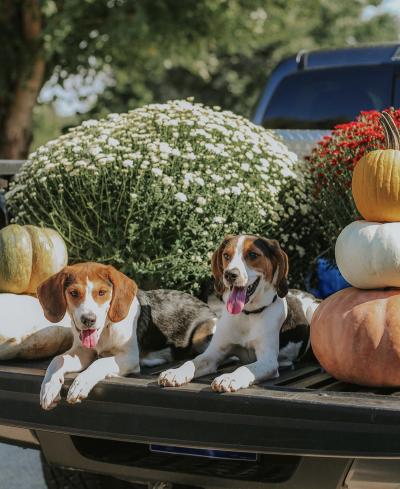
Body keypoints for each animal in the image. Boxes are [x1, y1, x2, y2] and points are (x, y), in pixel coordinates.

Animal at [159, 234, 318, 390]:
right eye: (226, 255)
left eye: (253, 255)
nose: (230, 274)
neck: (247, 315)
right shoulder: (212, 354)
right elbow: (192, 362)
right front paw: (176, 372)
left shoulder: (268, 361)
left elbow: (245, 368)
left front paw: (229, 378)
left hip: (313, 310)